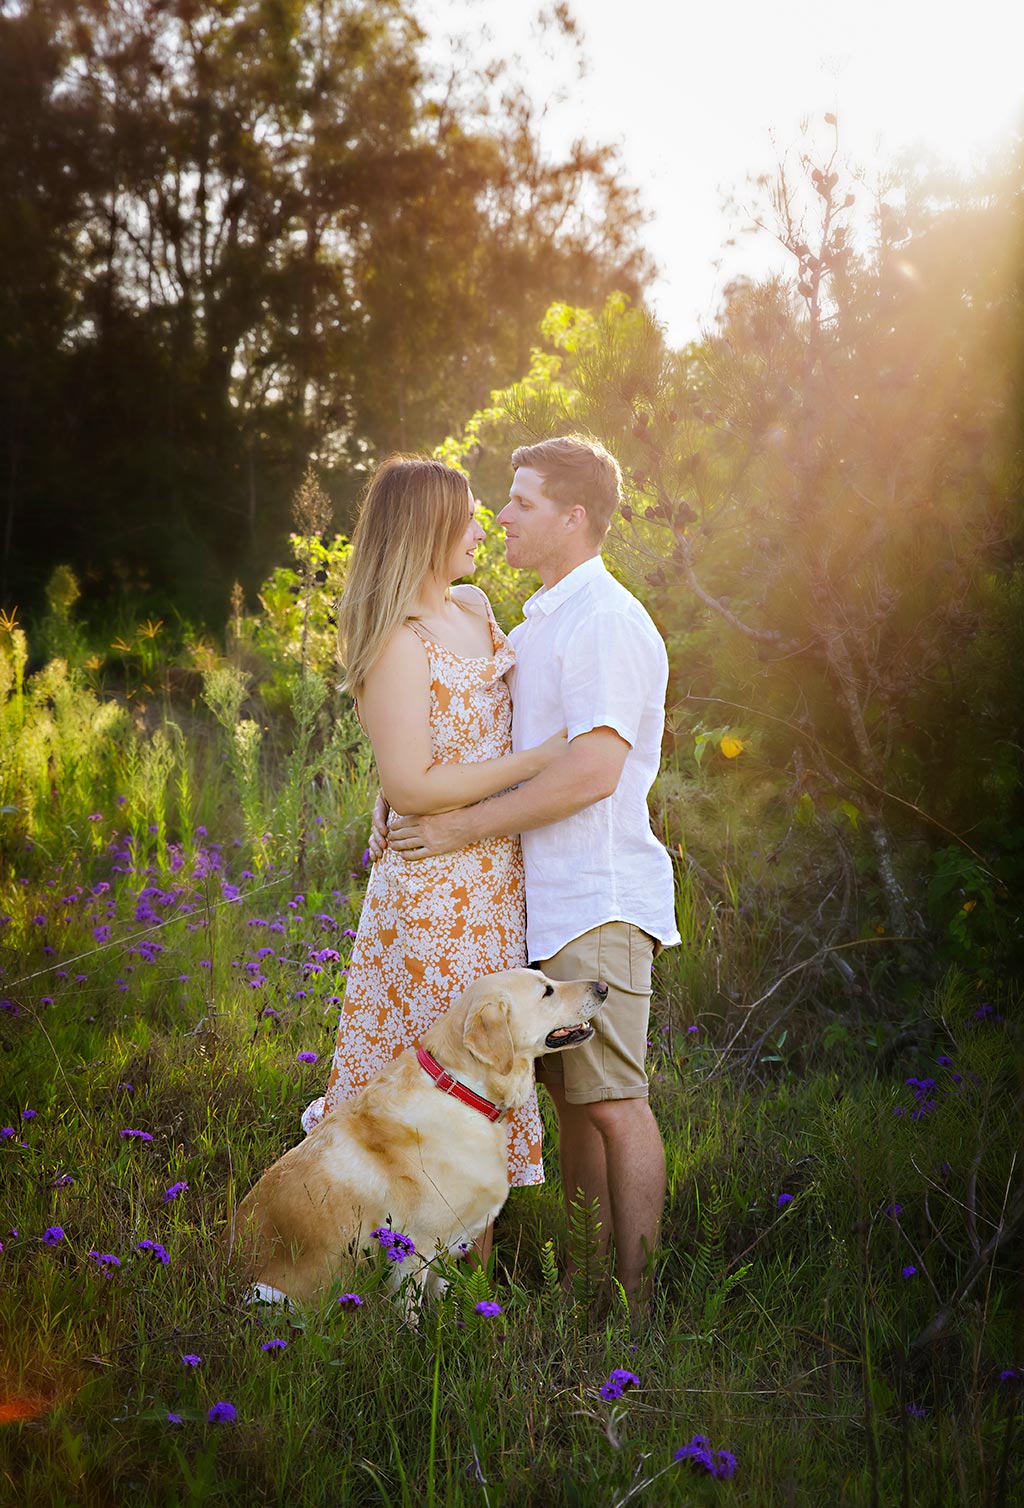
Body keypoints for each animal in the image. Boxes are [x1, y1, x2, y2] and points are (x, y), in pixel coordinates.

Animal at [230, 965, 609, 1308]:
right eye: (547, 991)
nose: (604, 987)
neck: (462, 1090)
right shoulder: (412, 1250)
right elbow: (409, 1317)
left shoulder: (452, 1243)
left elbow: (445, 1301)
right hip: (268, 1295)